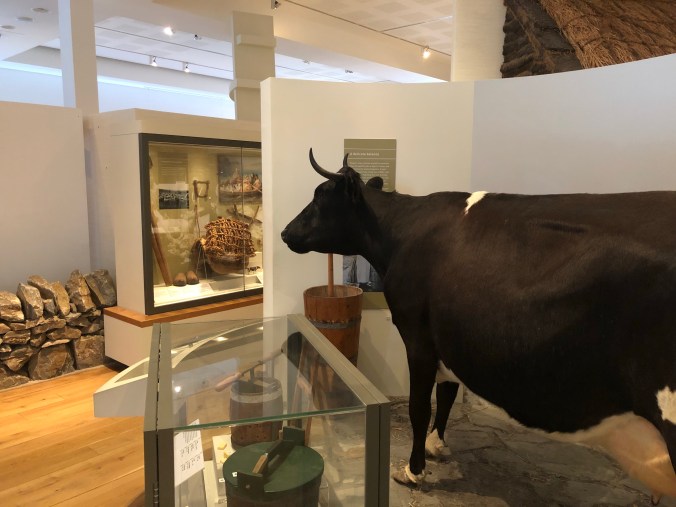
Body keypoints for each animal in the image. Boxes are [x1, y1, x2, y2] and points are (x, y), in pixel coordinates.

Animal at [281, 150, 676, 503]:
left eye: (320, 198)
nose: (285, 232)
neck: (400, 235)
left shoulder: (418, 337)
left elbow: (419, 407)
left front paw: (412, 470)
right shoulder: (450, 333)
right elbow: (447, 394)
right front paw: (437, 444)